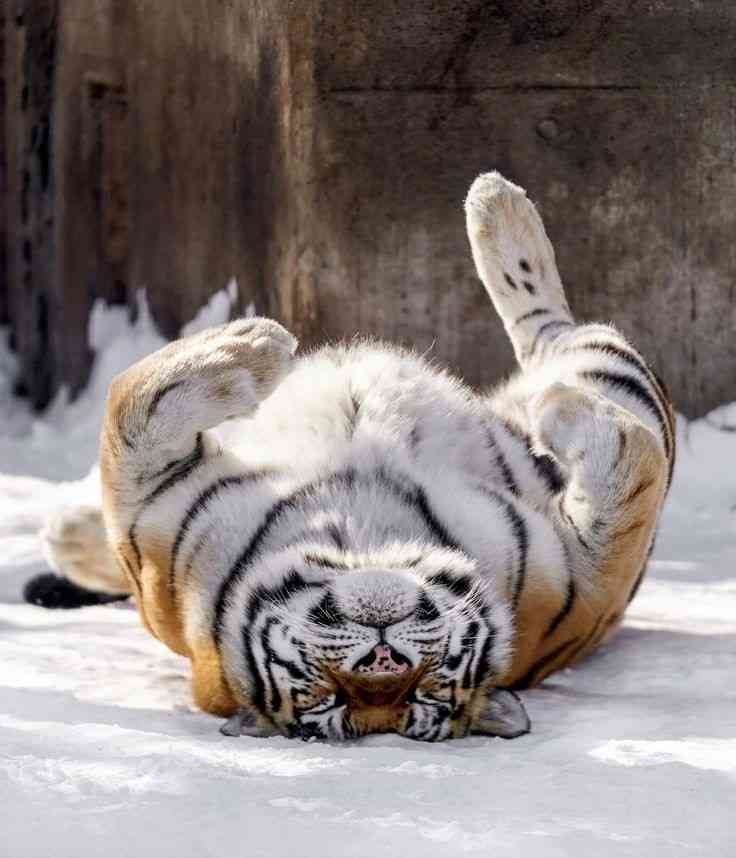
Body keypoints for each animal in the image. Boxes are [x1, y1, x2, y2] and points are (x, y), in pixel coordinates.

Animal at [30, 172, 674, 742]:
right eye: (330, 696)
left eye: (424, 690)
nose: (384, 656)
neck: (358, 531)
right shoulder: (148, 519)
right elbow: (130, 403)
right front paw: (256, 345)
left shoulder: (586, 587)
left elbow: (637, 463)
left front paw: (254, 343)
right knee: (553, 332)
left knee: (555, 333)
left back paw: (495, 203)